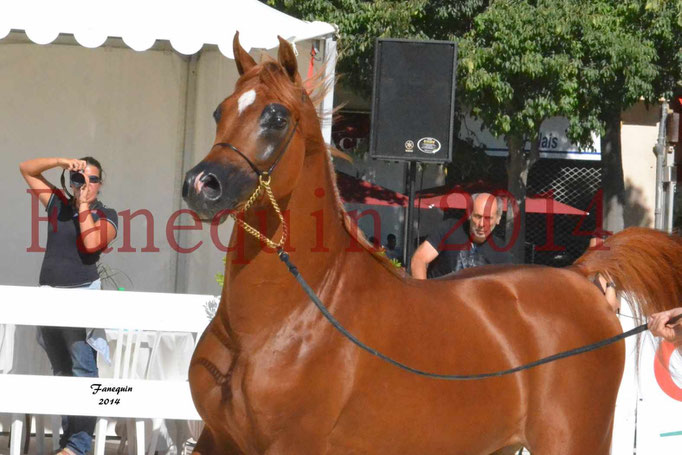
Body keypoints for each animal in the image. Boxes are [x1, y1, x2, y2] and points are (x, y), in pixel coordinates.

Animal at [181, 33, 680, 454]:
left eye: (276, 117)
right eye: (219, 110)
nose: (202, 185)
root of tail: (580, 277)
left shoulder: (293, 445)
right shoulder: (216, 440)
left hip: (573, 441)